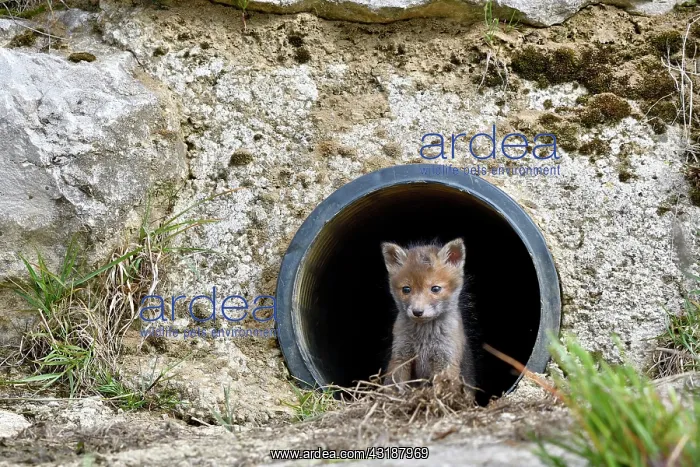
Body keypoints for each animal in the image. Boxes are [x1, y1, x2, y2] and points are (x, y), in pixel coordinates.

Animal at [381, 238, 476, 390]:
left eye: (435, 288)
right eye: (406, 289)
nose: (417, 312)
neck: (424, 338)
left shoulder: (445, 360)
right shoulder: (401, 355)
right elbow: (394, 384)